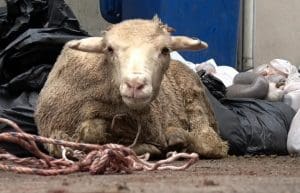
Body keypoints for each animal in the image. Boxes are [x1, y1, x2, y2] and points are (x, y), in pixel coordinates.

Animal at [34, 17, 227, 158]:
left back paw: (178, 137)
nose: (135, 84)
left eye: (165, 50)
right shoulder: (54, 132)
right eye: (110, 49)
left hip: (195, 102)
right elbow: (90, 132)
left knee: (211, 143)